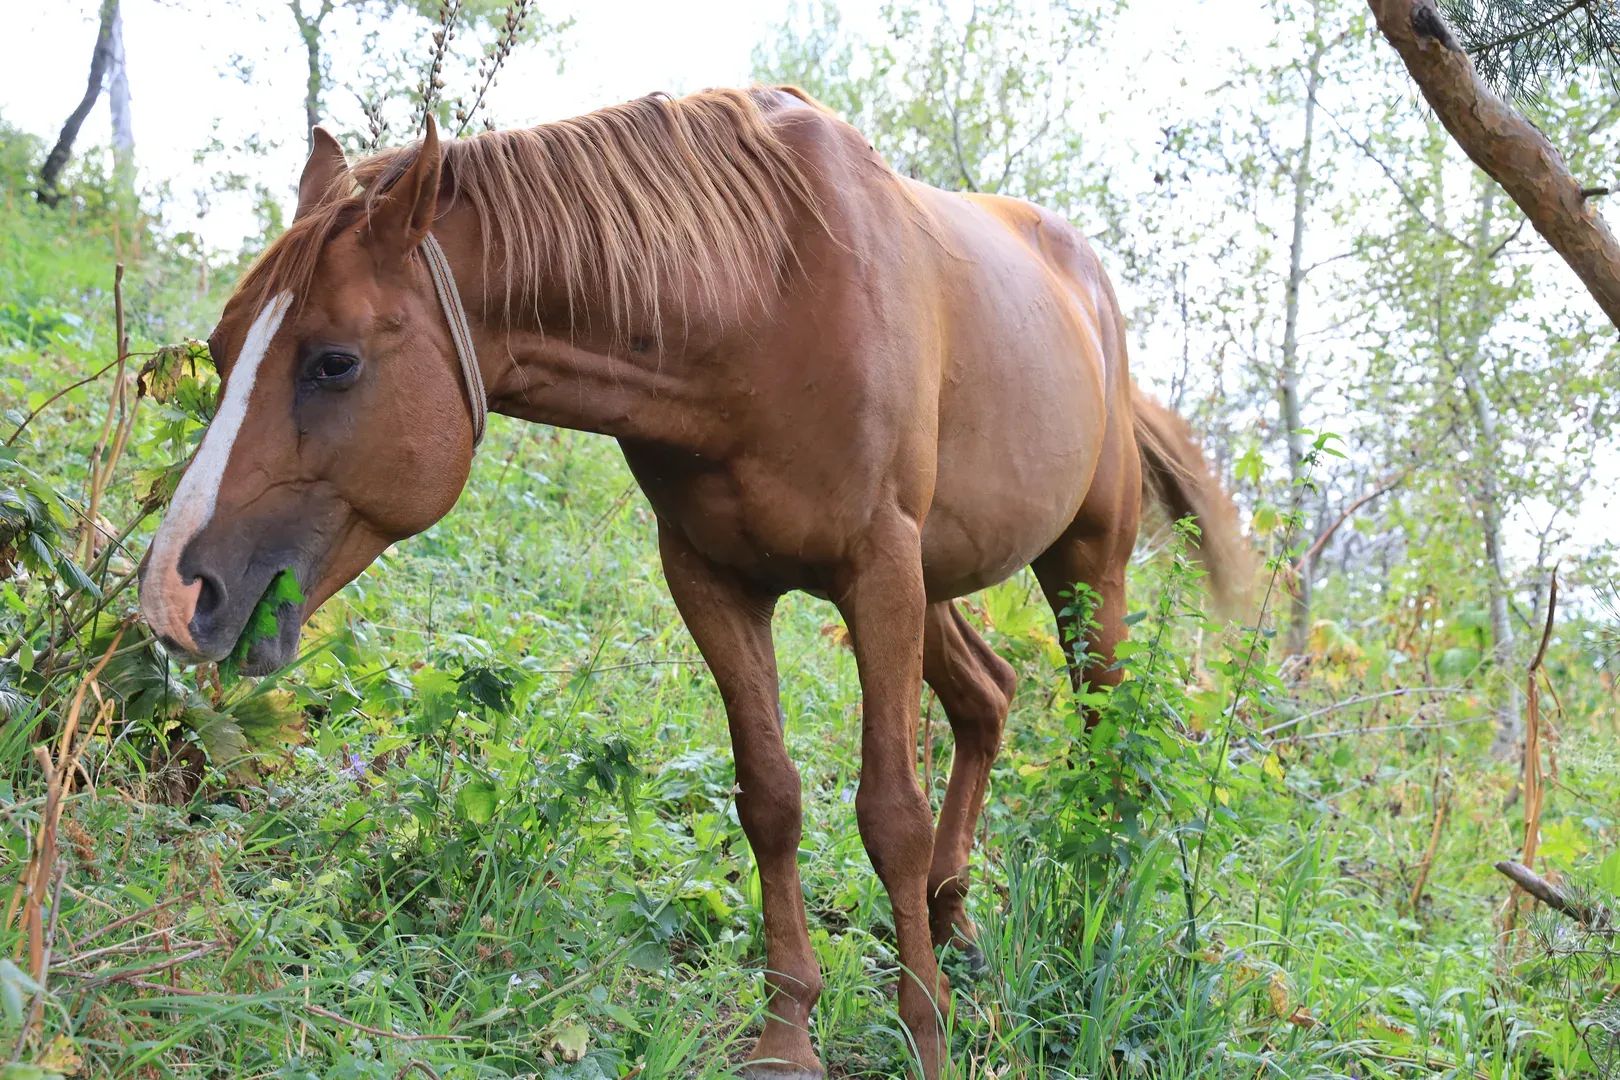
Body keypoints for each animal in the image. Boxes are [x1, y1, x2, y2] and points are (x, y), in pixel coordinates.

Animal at [138, 87, 1248, 1079]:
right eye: (222, 348)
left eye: (333, 361)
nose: (175, 595)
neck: (762, 304)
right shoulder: (715, 580)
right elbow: (771, 798)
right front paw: (788, 1035)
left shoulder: (876, 573)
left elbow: (888, 812)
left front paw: (924, 1038)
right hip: (941, 580)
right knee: (988, 698)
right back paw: (951, 916)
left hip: (1082, 571)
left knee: (1100, 734)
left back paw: (1087, 910)